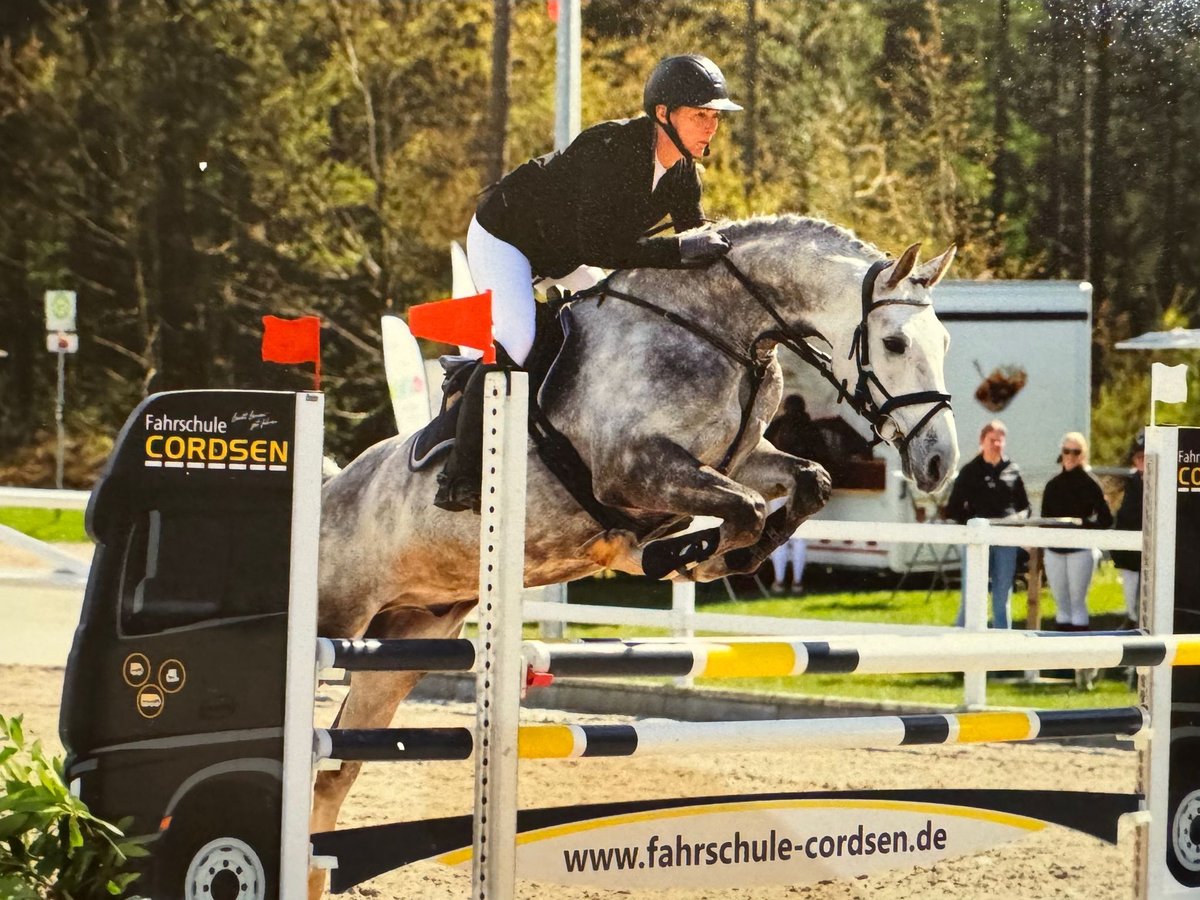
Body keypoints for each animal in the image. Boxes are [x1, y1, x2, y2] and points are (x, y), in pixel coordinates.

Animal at [307, 214, 955, 897]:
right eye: (893, 343)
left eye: (942, 341)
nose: (939, 462)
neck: (723, 330)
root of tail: (331, 485)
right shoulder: (635, 468)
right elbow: (747, 509)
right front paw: (683, 555)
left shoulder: (733, 460)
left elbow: (807, 483)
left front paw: (705, 554)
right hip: (335, 621)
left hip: (404, 648)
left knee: (334, 774)